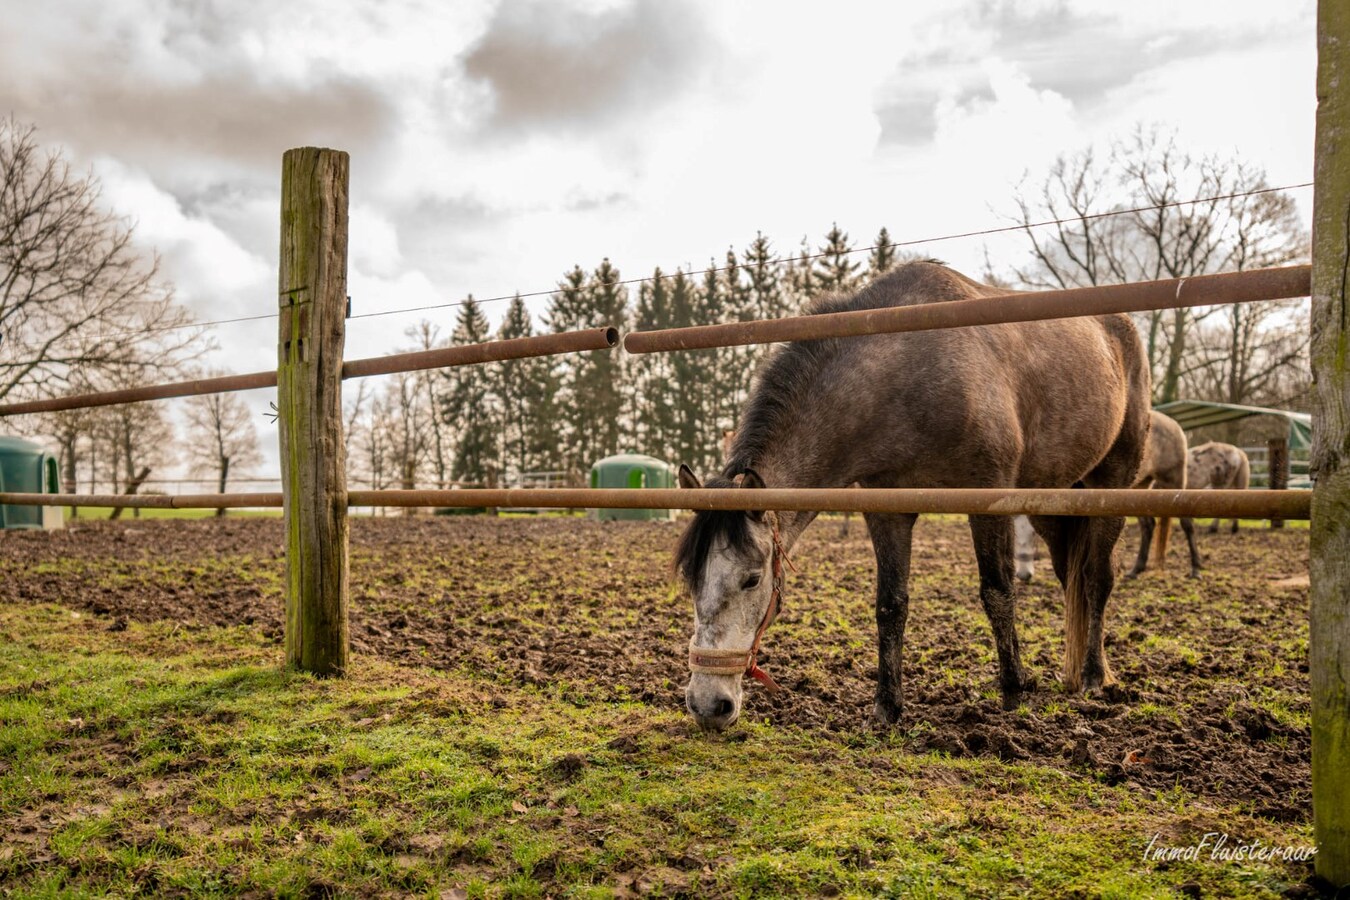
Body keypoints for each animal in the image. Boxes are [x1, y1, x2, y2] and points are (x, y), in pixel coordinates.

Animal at [675, 260, 1150, 734]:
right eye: (691, 578)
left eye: (753, 579)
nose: (708, 704)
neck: (907, 374)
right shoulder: (887, 511)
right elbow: (890, 605)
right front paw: (888, 705)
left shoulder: (987, 502)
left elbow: (997, 591)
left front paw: (1014, 690)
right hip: (1053, 504)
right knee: (1071, 573)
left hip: (1111, 487)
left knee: (1096, 577)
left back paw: (1093, 675)